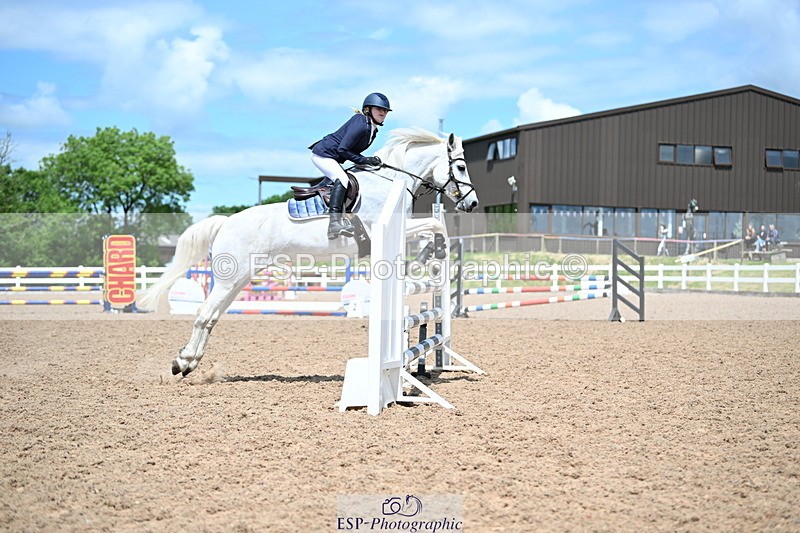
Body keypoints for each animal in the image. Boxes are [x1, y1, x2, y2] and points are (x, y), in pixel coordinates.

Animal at [138, 128, 479, 377]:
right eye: (461, 166)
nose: (473, 203)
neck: (391, 181)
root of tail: (226, 222)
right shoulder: (382, 228)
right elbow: (434, 224)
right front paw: (433, 253)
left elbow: (430, 228)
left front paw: (425, 257)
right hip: (229, 279)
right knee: (203, 315)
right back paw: (182, 362)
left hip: (237, 280)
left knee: (212, 317)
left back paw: (189, 362)